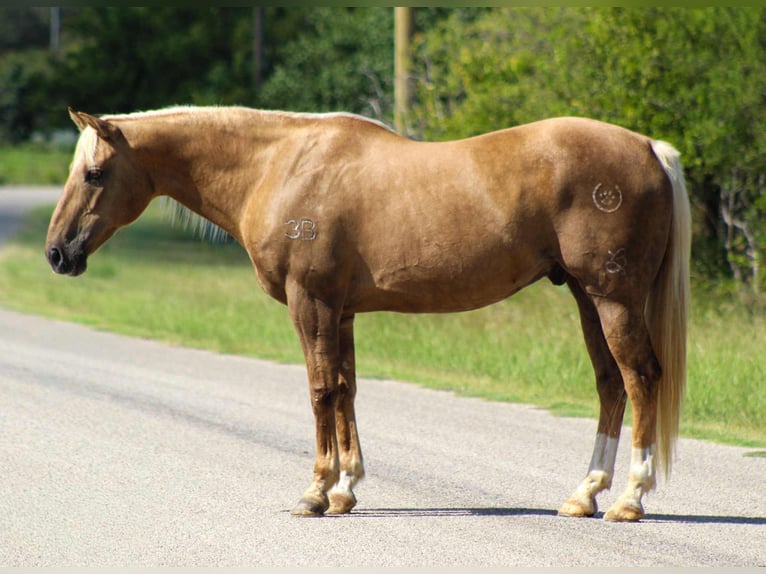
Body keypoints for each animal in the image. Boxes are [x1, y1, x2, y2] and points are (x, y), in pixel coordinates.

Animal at [45, 106, 690, 522]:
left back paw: (630, 499)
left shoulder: (311, 303)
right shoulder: (342, 311)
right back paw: (585, 494)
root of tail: (647, 148)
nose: (57, 254)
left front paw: (315, 492)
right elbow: (347, 389)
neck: (280, 165)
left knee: (640, 379)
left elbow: (320, 391)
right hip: (586, 297)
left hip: (612, 298)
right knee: (610, 384)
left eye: (95, 174)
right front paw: (346, 489)